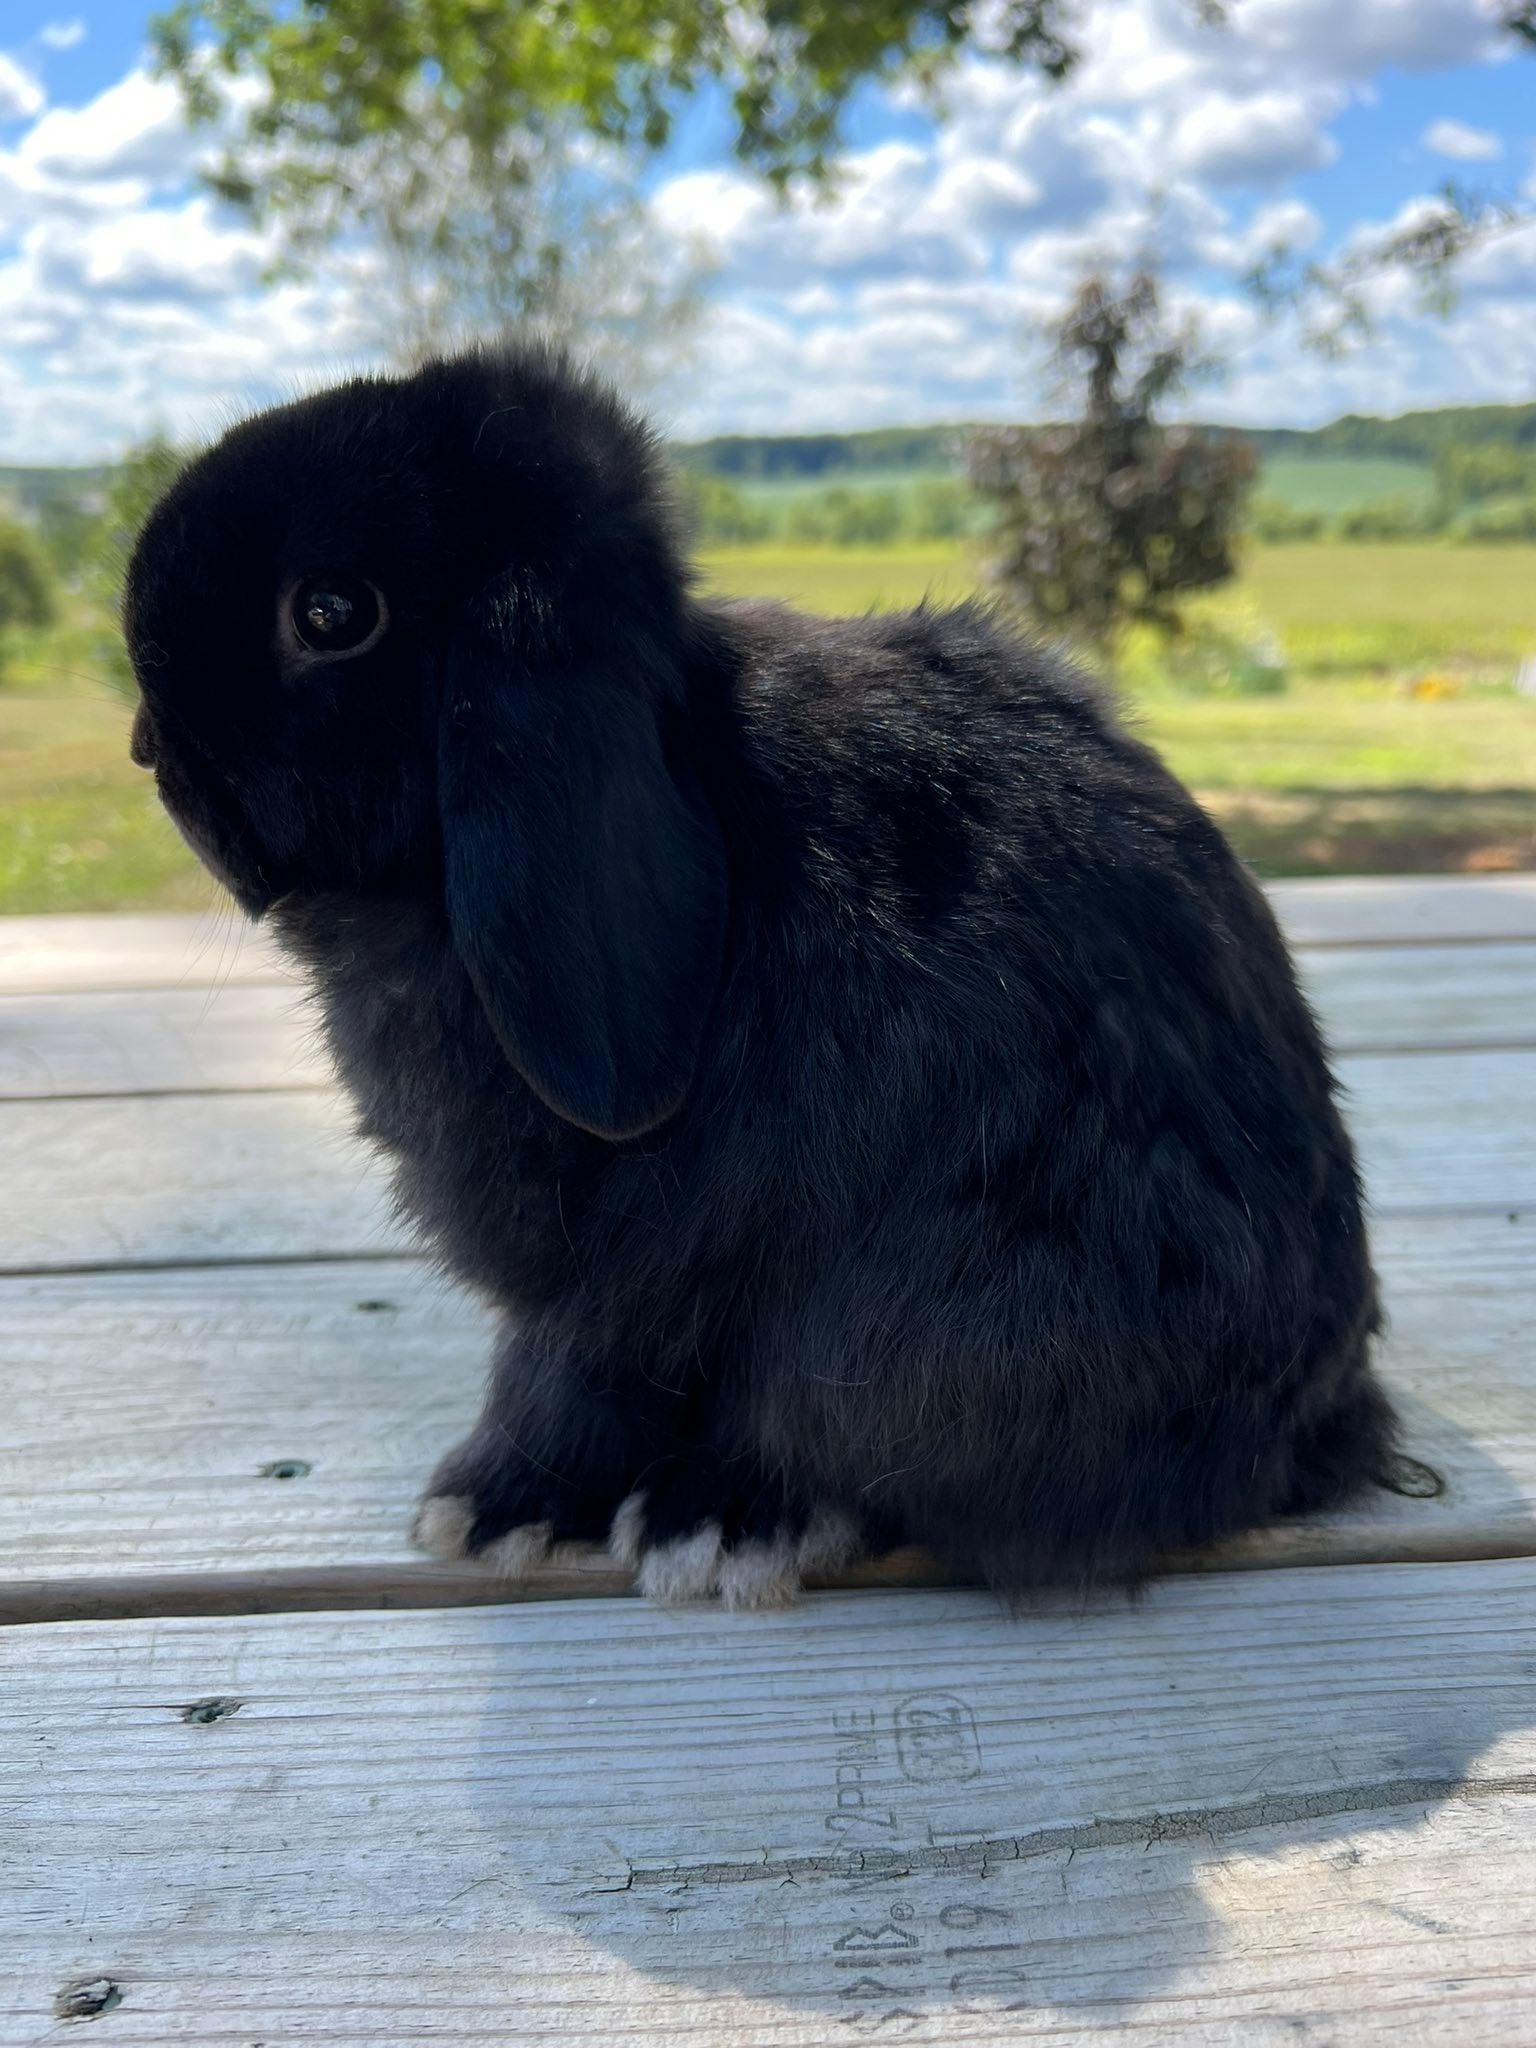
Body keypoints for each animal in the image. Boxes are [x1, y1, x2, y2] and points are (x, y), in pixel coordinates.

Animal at [125, 342, 1394, 1608]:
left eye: (331, 612)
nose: (148, 746)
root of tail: (1324, 1414)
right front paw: (493, 1506)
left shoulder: (619, 1280)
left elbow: (563, 1375)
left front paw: (501, 1506)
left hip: (955, 1310)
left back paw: (729, 1514)